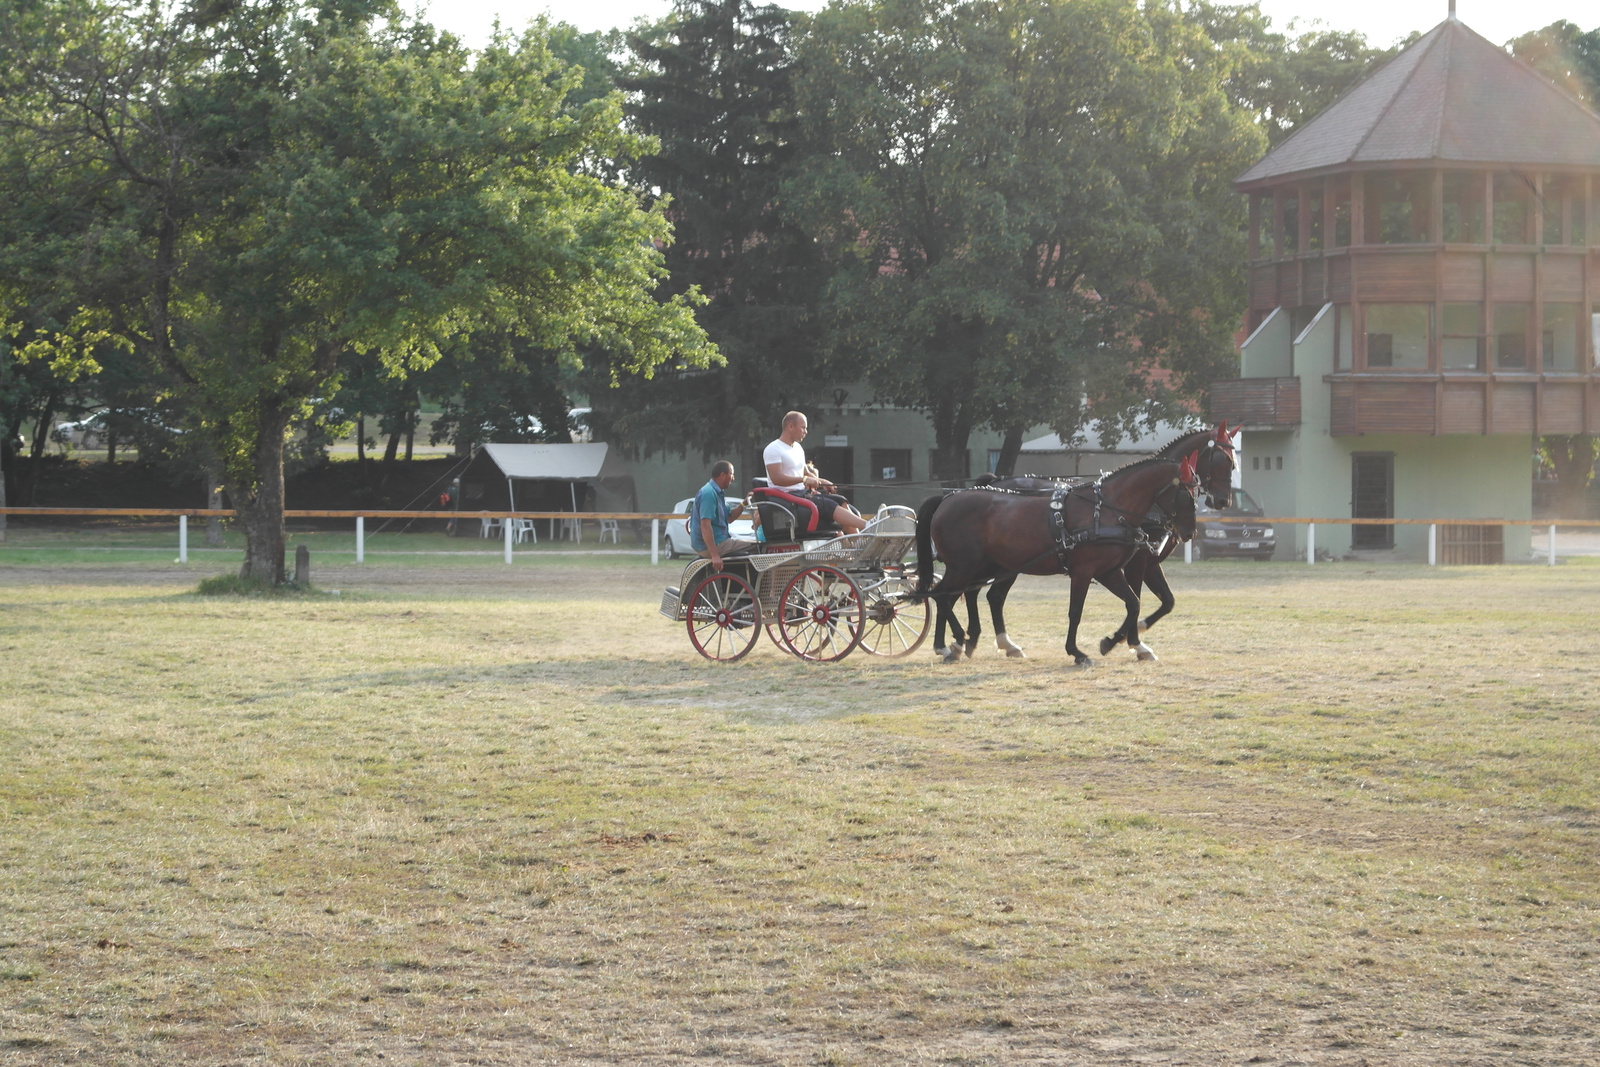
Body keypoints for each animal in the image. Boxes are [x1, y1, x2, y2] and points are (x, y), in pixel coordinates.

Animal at [915, 428, 1235, 662]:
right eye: (1224, 461)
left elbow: (1140, 602)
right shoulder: (1095, 570)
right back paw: (952, 643)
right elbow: (1077, 611)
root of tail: (949, 497)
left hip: (994, 565)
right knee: (943, 594)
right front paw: (1090, 649)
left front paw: (1117, 641)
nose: (1222, 502)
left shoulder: (1113, 570)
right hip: (964, 566)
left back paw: (977, 642)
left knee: (975, 596)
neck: (1108, 508)